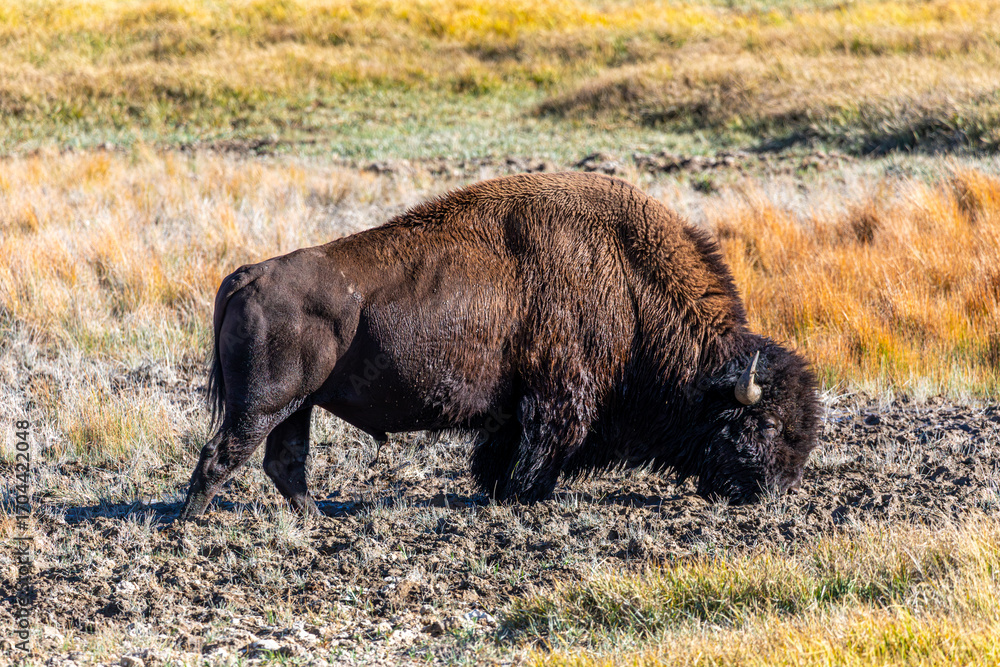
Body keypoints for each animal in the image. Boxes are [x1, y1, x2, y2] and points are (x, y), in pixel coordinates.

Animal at [180, 172, 820, 519]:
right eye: (765, 425)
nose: (777, 492)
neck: (631, 284)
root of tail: (247, 275)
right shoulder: (557, 402)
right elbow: (540, 454)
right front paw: (524, 498)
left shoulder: (516, 411)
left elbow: (499, 451)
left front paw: (495, 491)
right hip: (264, 403)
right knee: (222, 457)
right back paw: (188, 528)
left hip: (297, 406)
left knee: (282, 462)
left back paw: (318, 520)